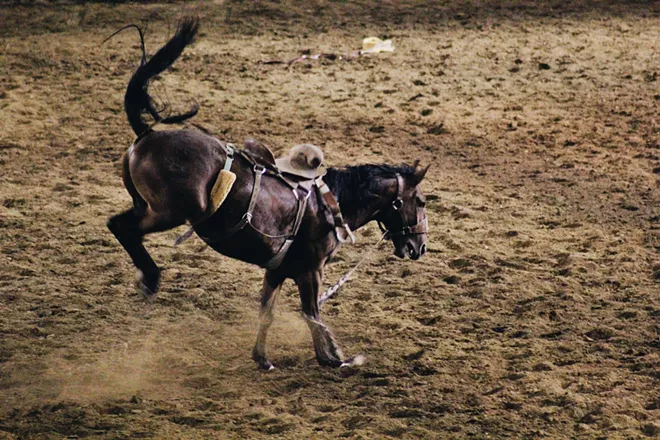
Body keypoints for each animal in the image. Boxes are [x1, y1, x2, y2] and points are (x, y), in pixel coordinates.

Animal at [106, 18, 430, 368]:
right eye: (421, 201)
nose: (420, 246)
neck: (332, 203)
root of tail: (146, 134)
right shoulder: (310, 270)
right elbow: (312, 313)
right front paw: (334, 358)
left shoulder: (278, 270)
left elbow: (268, 311)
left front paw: (262, 358)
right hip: (170, 211)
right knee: (120, 227)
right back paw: (151, 278)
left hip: (148, 207)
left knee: (121, 225)